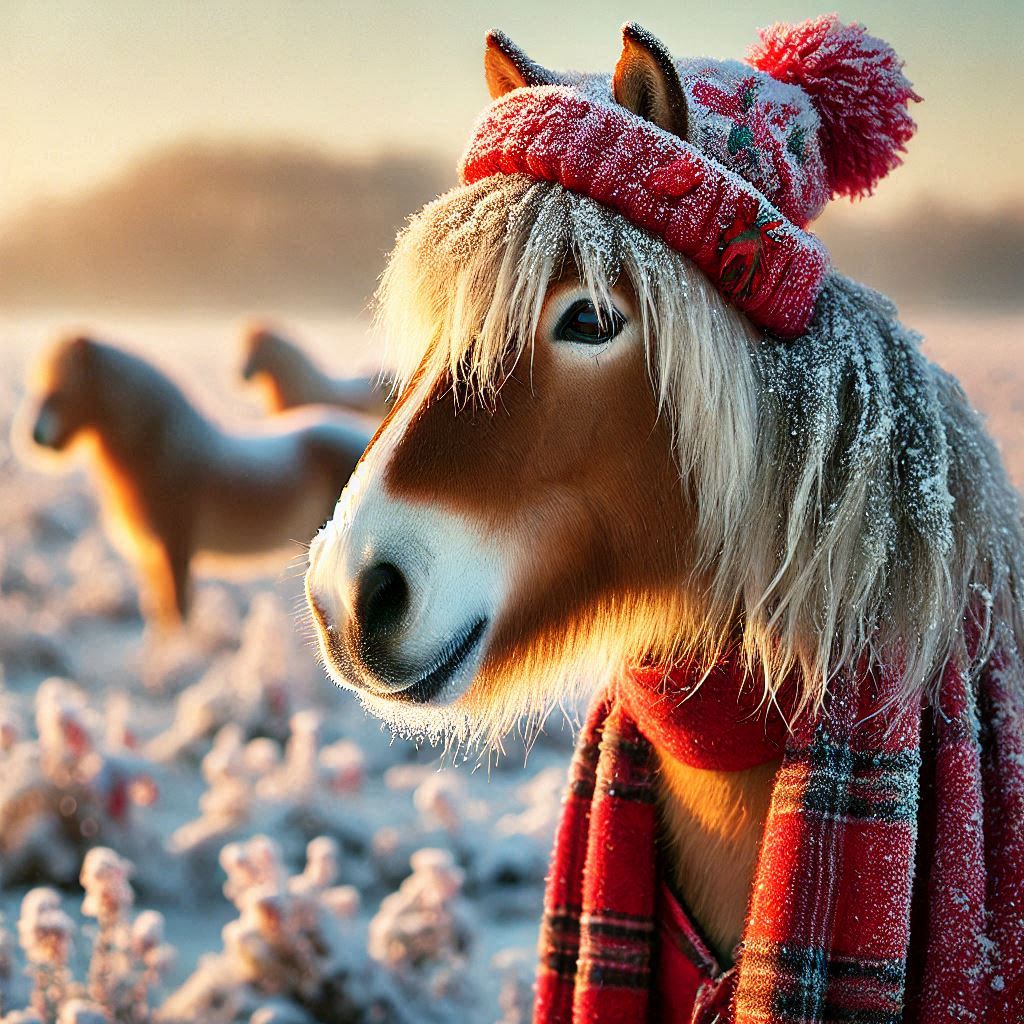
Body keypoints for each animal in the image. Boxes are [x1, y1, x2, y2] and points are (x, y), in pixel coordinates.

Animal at [17, 335, 374, 628]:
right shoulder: (155, 554)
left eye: (60, 392)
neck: (160, 448)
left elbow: (178, 609)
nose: (34, 437)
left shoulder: (175, 547)